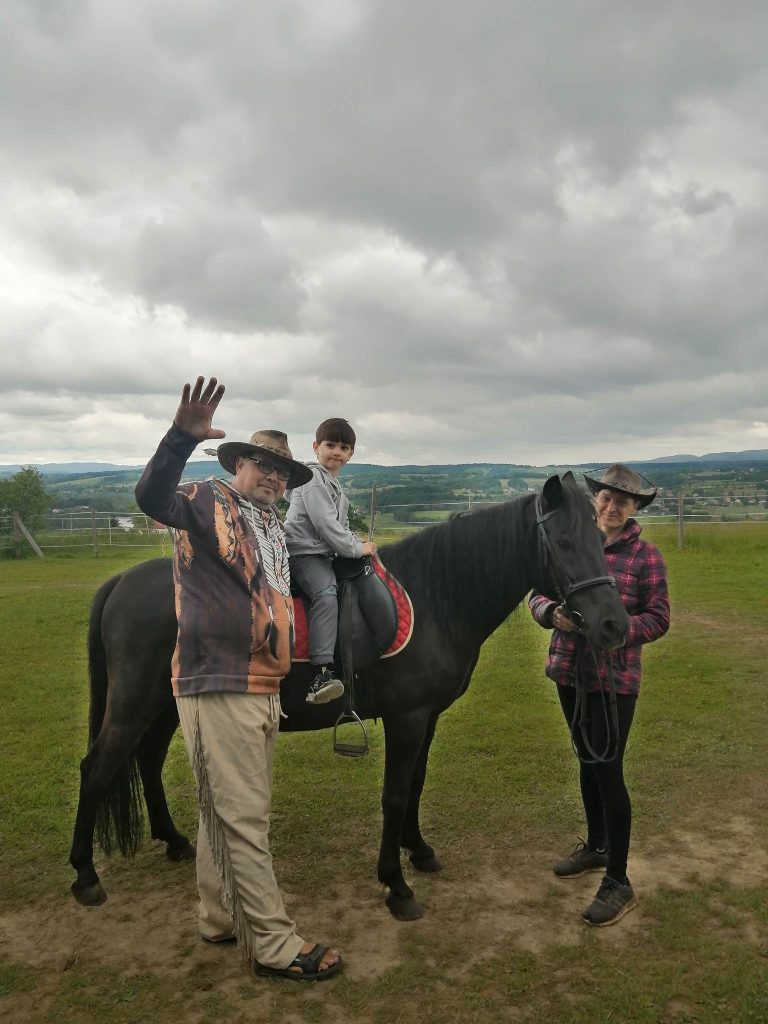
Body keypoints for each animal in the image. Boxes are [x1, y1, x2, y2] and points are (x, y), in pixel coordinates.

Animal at [69, 471, 626, 921]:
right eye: (566, 541)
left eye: (602, 539)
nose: (614, 625)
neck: (436, 595)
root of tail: (120, 583)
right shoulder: (406, 718)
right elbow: (395, 795)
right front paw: (396, 885)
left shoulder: (426, 718)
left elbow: (416, 784)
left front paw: (418, 851)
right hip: (134, 705)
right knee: (97, 768)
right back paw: (85, 876)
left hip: (164, 707)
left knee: (146, 760)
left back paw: (174, 841)